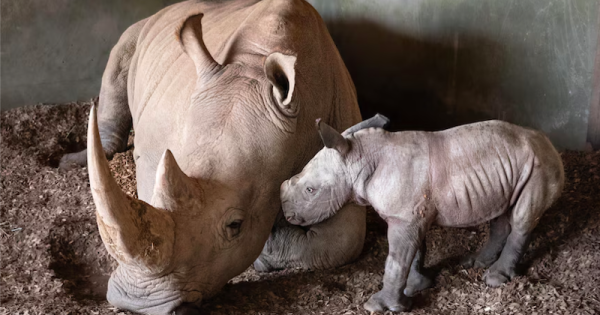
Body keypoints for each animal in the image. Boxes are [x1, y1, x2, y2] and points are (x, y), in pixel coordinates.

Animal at [280, 116, 564, 314]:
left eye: (310, 190)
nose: (286, 214)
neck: (358, 157)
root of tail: (550, 144)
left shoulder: (405, 216)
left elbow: (396, 260)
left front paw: (380, 306)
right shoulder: (410, 214)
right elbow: (414, 251)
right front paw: (416, 286)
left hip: (538, 166)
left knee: (521, 219)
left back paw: (495, 278)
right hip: (515, 167)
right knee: (502, 213)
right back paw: (475, 263)